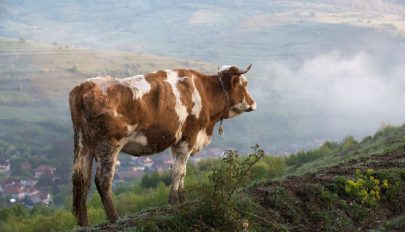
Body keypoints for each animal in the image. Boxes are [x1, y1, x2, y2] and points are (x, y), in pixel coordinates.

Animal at [67, 64, 254, 226]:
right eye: (245, 83)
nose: (253, 103)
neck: (204, 91)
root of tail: (85, 85)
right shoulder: (189, 138)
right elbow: (178, 172)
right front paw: (172, 202)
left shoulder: (177, 143)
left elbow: (182, 172)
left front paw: (181, 200)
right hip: (108, 146)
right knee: (102, 180)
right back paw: (114, 218)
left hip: (84, 145)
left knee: (81, 180)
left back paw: (83, 223)